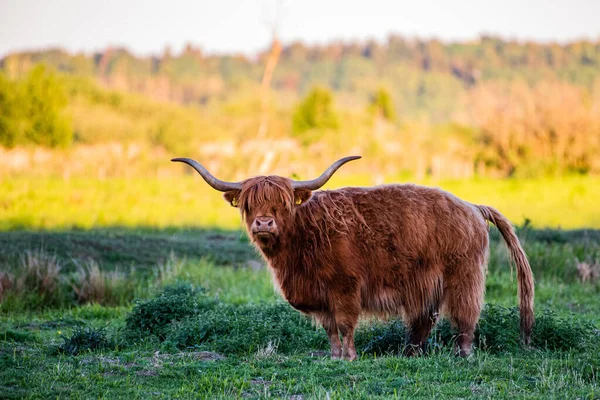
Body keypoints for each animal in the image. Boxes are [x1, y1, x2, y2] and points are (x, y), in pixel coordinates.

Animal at [172, 155, 536, 360]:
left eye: (282, 203)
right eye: (249, 204)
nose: (264, 223)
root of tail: (472, 206)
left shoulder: (344, 287)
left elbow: (346, 324)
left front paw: (349, 357)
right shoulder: (320, 296)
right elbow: (330, 328)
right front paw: (333, 357)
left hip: (463, 275)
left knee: (465, 317)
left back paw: (463, 355)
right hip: (426, 282)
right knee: (424, 318)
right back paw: (410, 354)